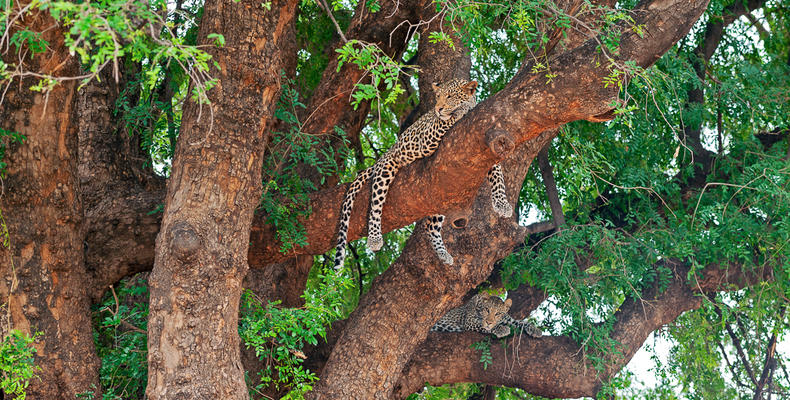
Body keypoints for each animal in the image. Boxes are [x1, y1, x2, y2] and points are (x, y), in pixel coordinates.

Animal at [333, 78, 513, 270]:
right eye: (438, 97)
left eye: (450, 96)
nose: (438, 108)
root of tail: (387, 152)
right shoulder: (427, 138)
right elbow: (448, 119)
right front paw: (461, 109)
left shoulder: (489, 149)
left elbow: (498, 177)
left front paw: (502, 204)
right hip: (386, 168)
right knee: (375, 203)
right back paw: (374, 238)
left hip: (441, 193)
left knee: (430, 226)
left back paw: (443, 254)